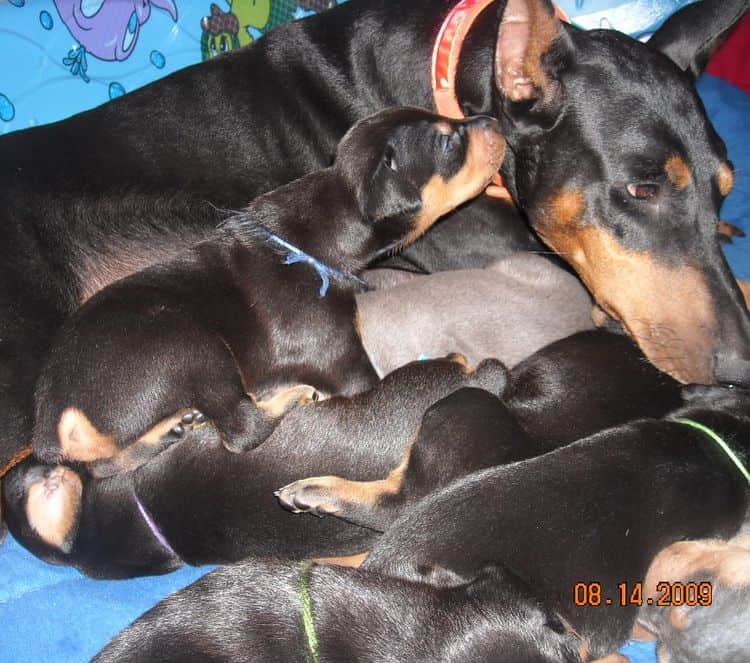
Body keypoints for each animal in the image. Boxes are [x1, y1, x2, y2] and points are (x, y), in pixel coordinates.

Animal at [32, 109, 508, 478]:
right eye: (447, 143)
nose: (494, 120)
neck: (319, 234)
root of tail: (55, 425)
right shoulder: (344, 362)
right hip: (187, 346)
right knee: (243, 427)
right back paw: (287, 398)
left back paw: (175, 427)